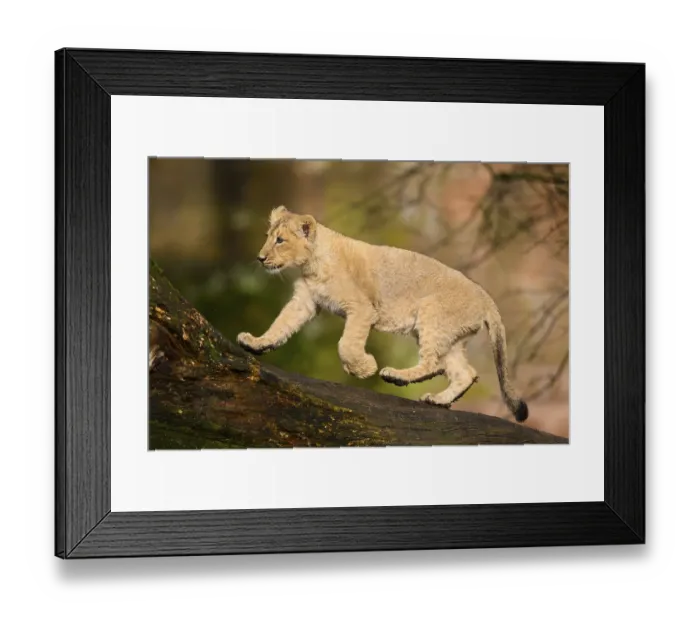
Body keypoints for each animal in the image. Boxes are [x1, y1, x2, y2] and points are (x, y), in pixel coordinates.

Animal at [236, 206, 528, 421]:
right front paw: (256, 343)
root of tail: (485, 296)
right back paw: (437, 400)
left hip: (431, 316)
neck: (311, 265)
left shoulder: (362, 309)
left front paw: (364, 368)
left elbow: (346, 344)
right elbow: (280, 325)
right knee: (464, 373)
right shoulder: (304, 302)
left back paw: (395, 376)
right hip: (452, 338)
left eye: (280, 240)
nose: (260, 257)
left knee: (433, 363)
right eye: (268, 236)